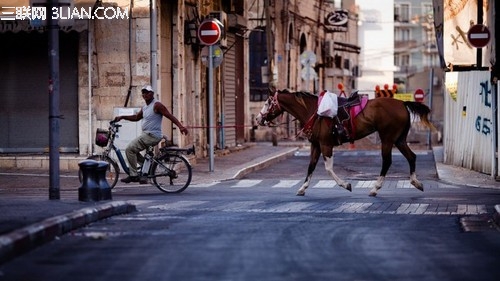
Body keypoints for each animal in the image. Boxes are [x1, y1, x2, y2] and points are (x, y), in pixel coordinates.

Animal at [256, 88, 436, 196]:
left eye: (267, 103)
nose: (258, 118)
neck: (314, 111)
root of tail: (403, 104)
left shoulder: (326, 145)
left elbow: (328, 169)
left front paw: (345, 184)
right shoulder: (316, 145)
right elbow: (311, 166)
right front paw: (302, 188)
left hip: (387, 139)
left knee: (387, 161)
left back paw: (375, 188)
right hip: (399, 139)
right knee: (411, 157)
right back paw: (415, 182)